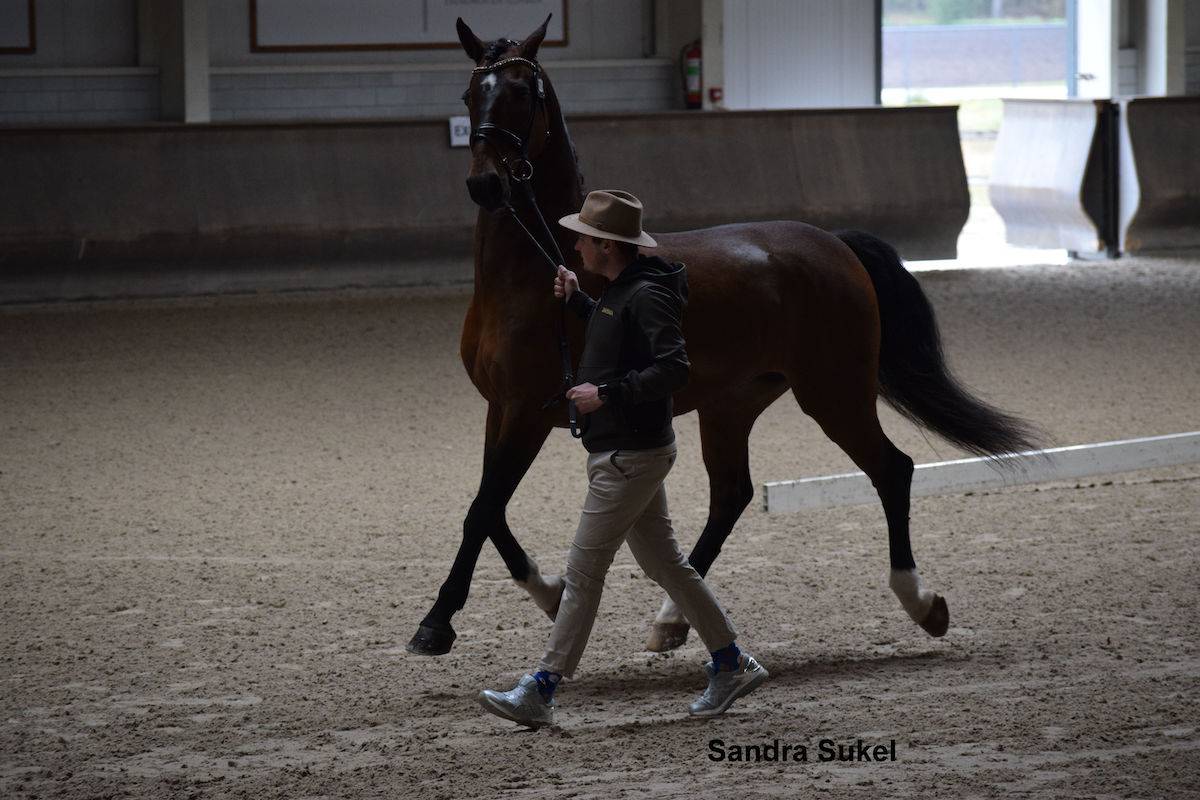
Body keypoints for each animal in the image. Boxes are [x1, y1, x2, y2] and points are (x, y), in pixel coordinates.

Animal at [405, 16, 1040, 657]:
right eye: (470, 94)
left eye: (520, 94)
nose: (486, 185)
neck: (541, 271)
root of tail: (834, 244)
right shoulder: (502, 408)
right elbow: (489, 506)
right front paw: (549, 592)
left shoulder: (528, 412)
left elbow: (482, 509)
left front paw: (437, 623)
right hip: (733, 404)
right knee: (733, 493)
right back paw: (671, 618)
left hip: (834, 394)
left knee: (892, 469)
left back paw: (923, 603)